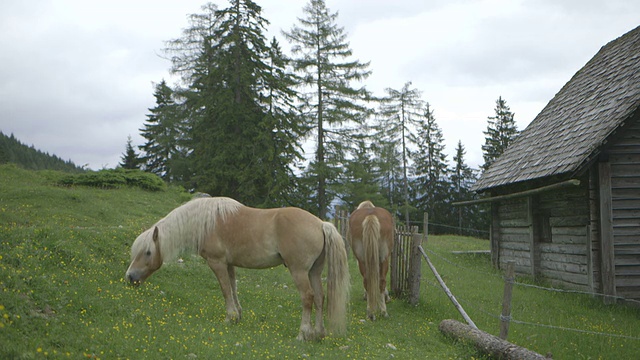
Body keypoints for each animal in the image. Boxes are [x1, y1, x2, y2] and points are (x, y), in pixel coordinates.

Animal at [125, 197, 350, 340]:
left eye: (147, 252)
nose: (130, 277)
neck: (208, 222)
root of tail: (321, 223)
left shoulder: (217, 262)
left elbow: (225, 289)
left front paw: (229, 318)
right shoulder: (229, 264)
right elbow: (233, 288)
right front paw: (238, 316)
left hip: (299, 272)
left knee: (308, 297)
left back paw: (303, 334)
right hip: (314, 272)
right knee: (320, 297)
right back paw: (318, 334)